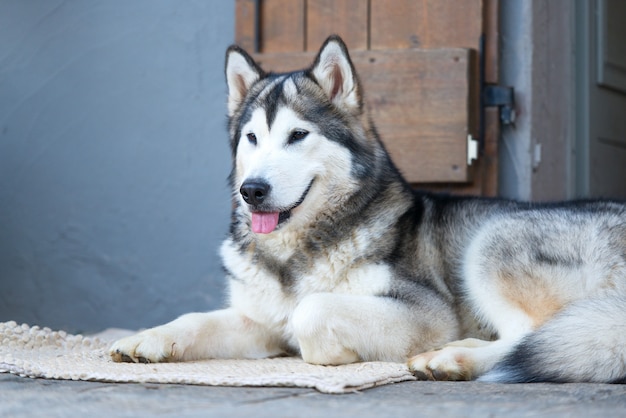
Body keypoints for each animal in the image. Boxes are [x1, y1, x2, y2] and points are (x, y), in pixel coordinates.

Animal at [111, 35, 624, 382]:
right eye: (251, 138)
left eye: (298, 135)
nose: (252, 190)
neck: (296, 255)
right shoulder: (258, 318)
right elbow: (197, 319)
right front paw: (146, 337)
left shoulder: (425, 312)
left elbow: (310, 311)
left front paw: (337, 354)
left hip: (492, 240)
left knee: (536, 337)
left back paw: (452, 357)